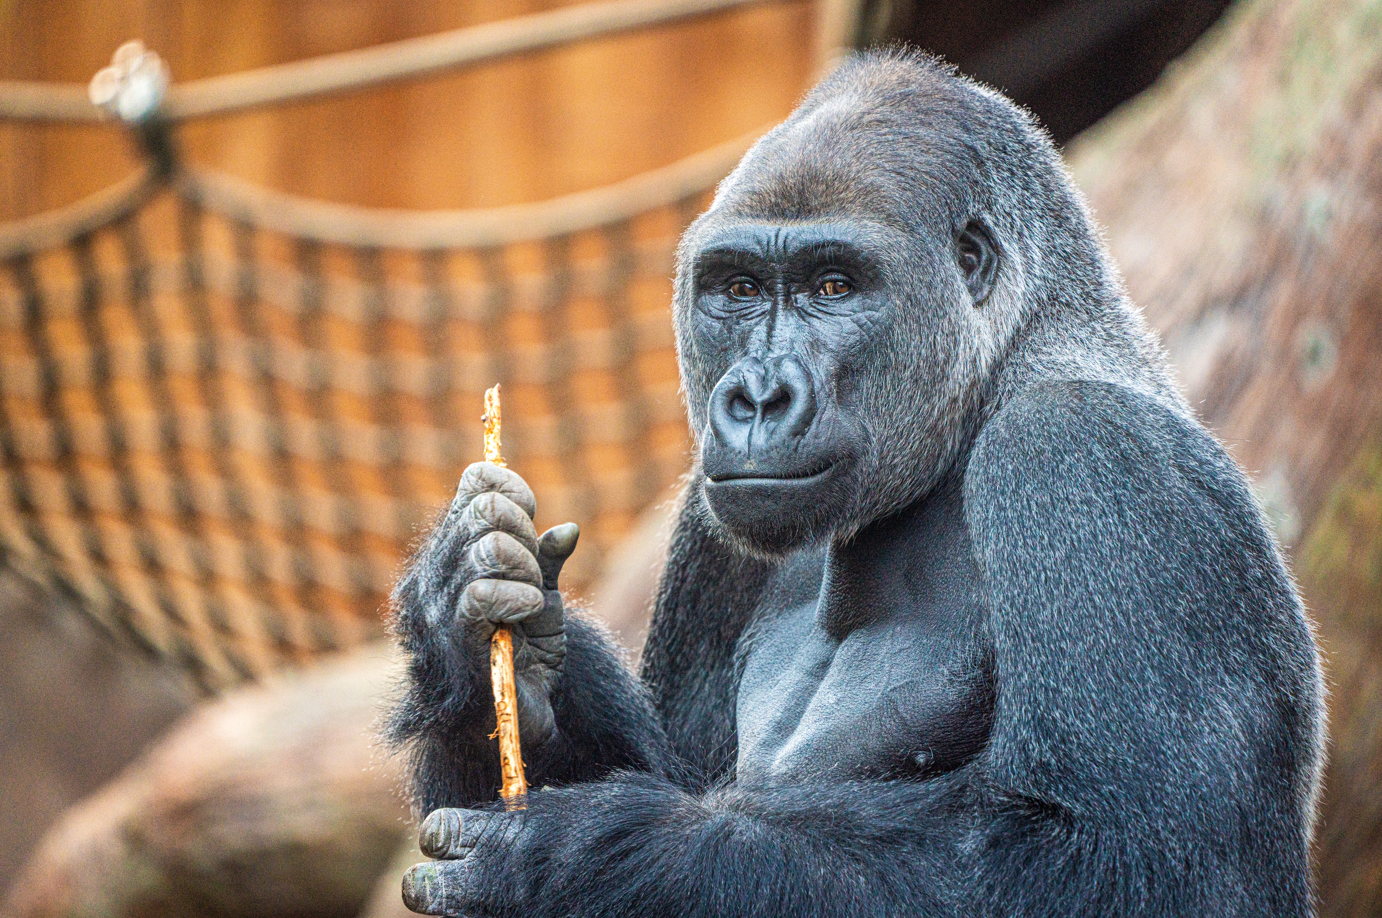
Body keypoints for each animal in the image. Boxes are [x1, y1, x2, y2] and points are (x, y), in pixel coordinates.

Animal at [386, 50, 1325, 918]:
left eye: (834, 285)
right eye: (738, 288)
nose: (757, 397)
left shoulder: (1092, 459)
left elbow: (1133, 860)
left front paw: (590, 858)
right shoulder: (709, 527)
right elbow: (665, 758)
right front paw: (477, 638)